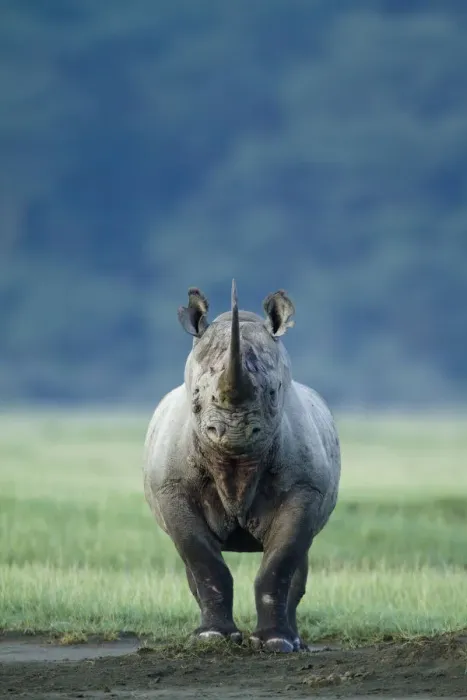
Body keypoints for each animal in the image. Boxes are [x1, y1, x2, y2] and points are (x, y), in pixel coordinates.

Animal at [143, 281, 341, 653]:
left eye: (274, 393)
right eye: (195, 395)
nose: (234, 432)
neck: (234, 464)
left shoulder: (304, 489)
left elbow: (280, 561)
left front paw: (275, 643)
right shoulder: (172, 488)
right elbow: (202, 560)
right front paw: (212, 638)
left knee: (301, 554)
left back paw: (296, 642)